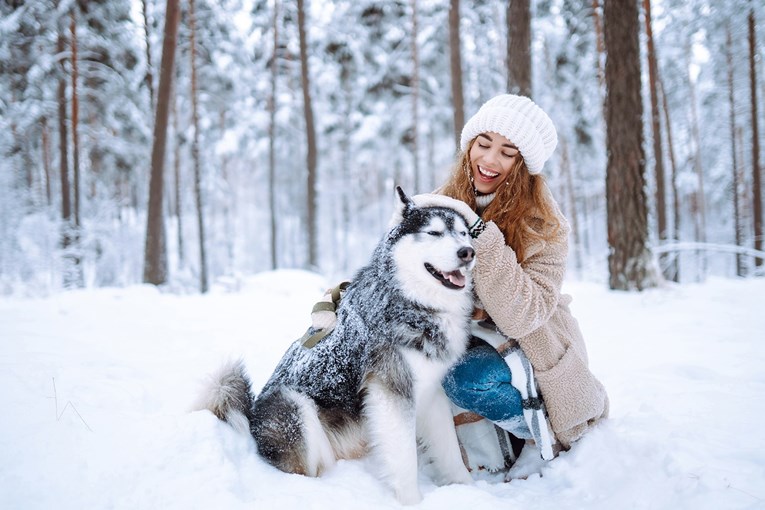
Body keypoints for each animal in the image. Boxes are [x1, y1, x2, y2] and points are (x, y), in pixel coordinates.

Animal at [198, 188, 472, 506]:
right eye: (434, 232)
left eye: (464, 234)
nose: (468, 252)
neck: (413, 303)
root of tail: (251, 413)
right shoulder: (392, 394)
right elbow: (404, 462)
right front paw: (412, 502)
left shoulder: (430, 390)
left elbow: (449, 448)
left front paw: (466, 488)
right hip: (295, 407)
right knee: (305, 471)